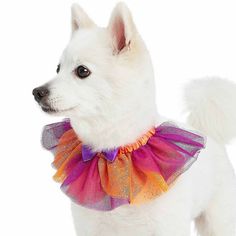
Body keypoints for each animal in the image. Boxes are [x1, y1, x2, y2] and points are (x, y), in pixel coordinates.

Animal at [33, 2, 236, 235]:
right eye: (58, 69)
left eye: (82, 71)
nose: (37, 92)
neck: (116, 152)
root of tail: (208, 133)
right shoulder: (91, 227)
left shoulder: (167, 226)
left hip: (219, 220)